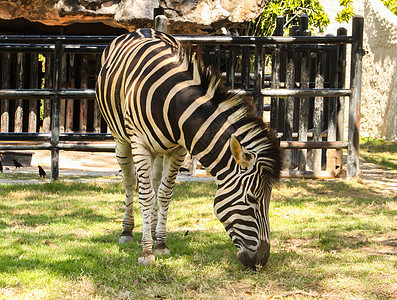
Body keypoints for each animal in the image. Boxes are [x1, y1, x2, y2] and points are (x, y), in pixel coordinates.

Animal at [96, 27, 282, 268]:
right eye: (252, 199)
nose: (262, 260)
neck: (174, 104)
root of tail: (142, 29)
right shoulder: (140, 144)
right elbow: (145, 196)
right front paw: (147, 252)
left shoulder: (178, 149)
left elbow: (165, 193)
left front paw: (160, 244)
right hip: (121, 138)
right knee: (129, 181)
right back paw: (127, 231)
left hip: (160, 150)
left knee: (155, 182)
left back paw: (153, 228)